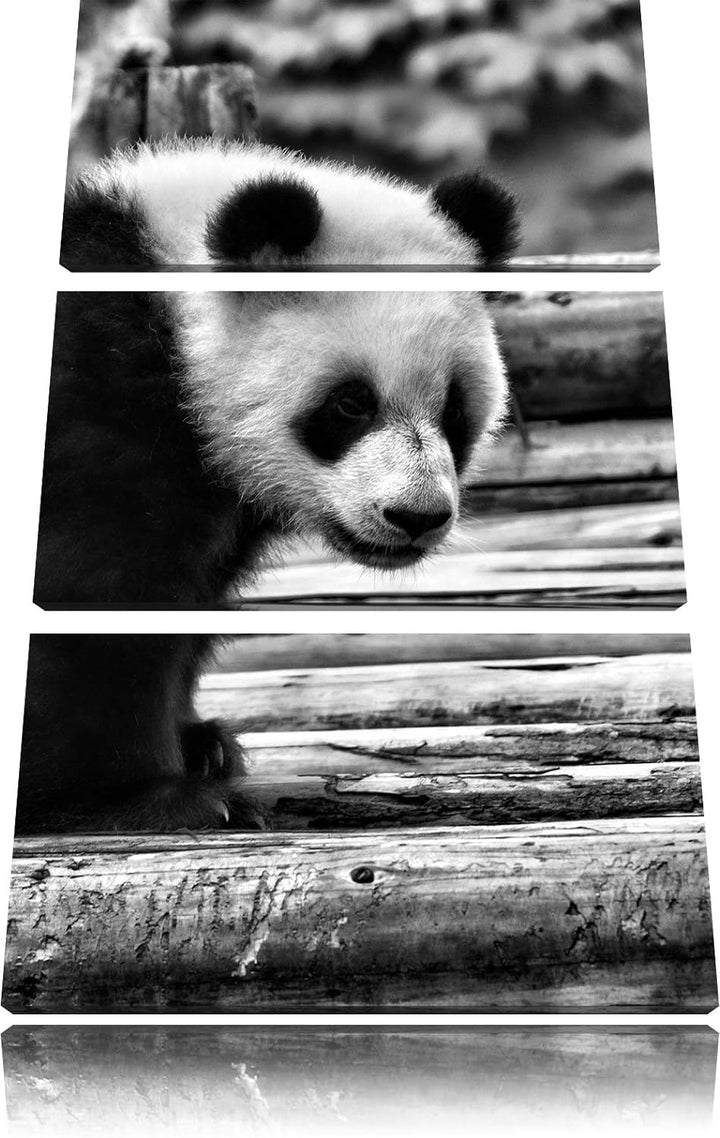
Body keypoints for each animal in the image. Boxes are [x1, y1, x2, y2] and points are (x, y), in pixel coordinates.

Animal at [19, 143, 519, 835]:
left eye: (454, 410)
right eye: (351, 404)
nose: (416, 516)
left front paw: (202, 745)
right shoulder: (95, 406)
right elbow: (89, 597)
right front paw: (147, 796)